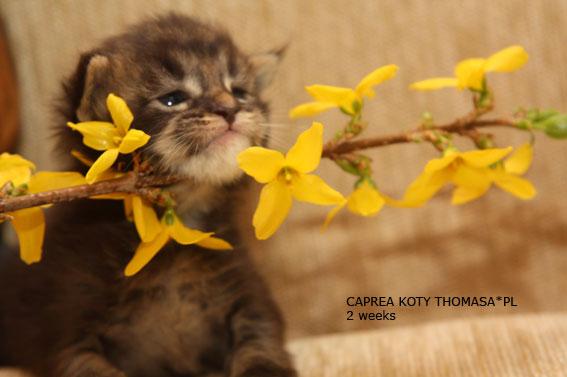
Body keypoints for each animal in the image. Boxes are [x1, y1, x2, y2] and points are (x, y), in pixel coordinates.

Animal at [1, 12, 298, 376]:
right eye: (172, 98)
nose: (230, 109)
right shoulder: (66, 326)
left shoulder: (251, 297)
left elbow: (263, 345)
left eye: (240, 92)